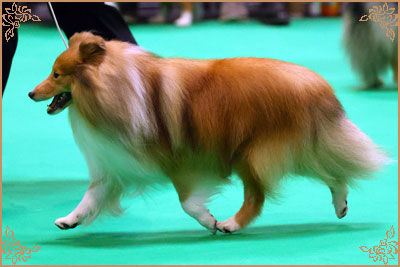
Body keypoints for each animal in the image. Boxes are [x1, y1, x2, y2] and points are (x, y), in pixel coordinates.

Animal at [29, 32, 386, 234]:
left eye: (56, 74)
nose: (30, 94)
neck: (113, 91)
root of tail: (318, 85)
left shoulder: (183, 161)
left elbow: (188, 202)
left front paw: (209, 221)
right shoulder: (116, 165)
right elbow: (91, 196)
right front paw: (69, 220)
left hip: (252, 154)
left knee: (258, 196)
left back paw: (231, 224)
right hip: (293, 149)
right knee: (332, 172)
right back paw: (340, 206)